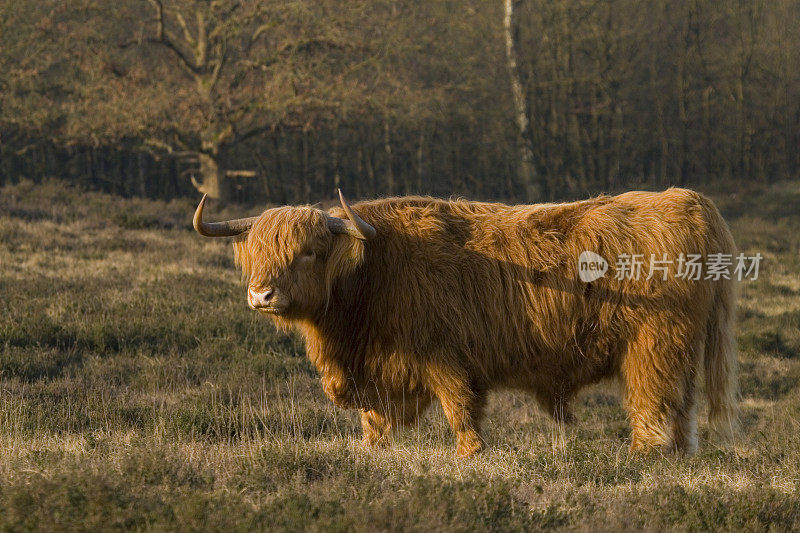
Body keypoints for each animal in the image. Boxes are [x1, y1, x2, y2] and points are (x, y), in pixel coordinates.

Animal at [192, 189, 736, 456]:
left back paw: (643, 457)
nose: (262, 294)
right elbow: (374, 422)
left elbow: (460, 411)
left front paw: (470, 456)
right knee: (682, 409)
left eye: (307, 250)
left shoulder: (445, 356)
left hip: (653, 347)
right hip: (680, 350)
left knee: (653, 405)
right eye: (257, 251)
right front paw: (371, 452)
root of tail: (688, 200)